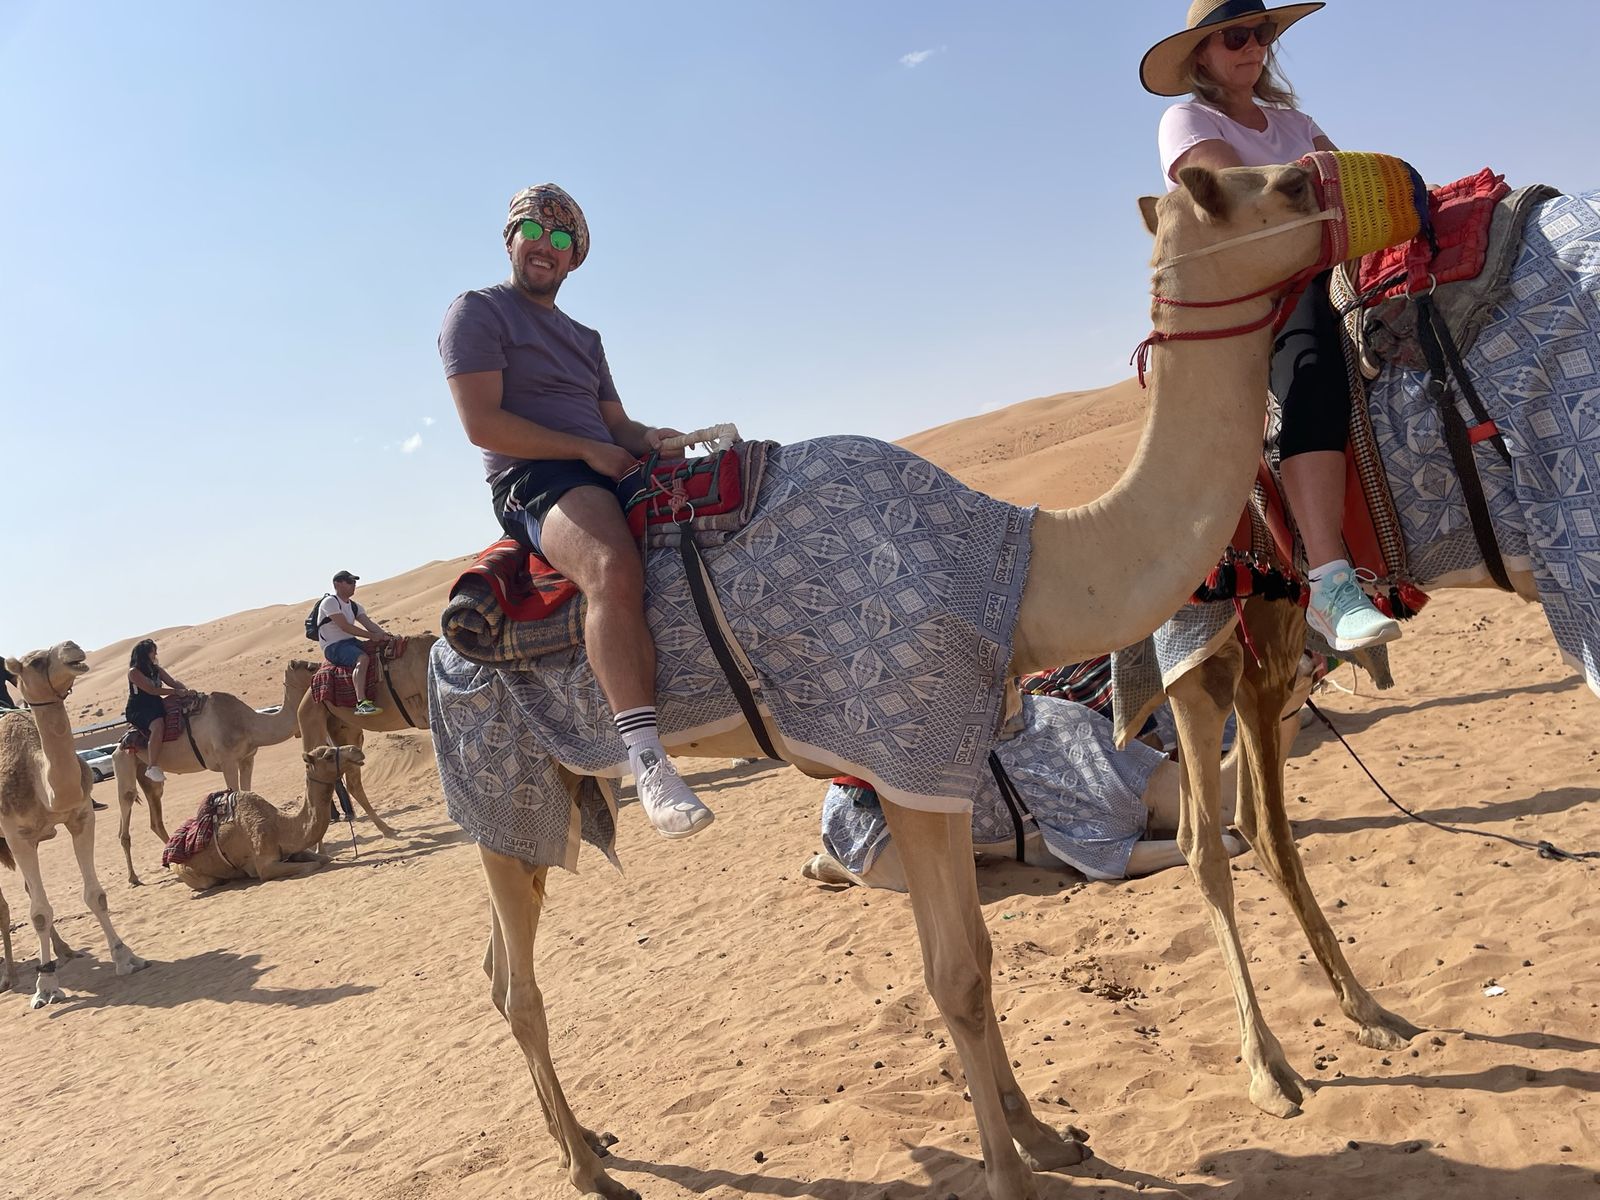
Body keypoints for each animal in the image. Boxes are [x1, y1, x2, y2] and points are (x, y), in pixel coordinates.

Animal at [1, 642, 146, 1008]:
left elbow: (95, 895)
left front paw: (125, 957)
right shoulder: (16, 836)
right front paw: (46, 986)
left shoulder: (81, 817)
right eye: (36, 661)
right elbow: (38, 912)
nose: (73, 648)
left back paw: (64, 951)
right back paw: (10, 976)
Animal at [114, 659, 317, 886]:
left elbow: (246, 790)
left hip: (146, 774)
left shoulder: (247, 759)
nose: (322, 665)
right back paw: (134, 877)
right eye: (310, 668)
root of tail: (119, 743)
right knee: (126, 805)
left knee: (155, 813)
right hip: (124, 763)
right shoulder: (227, 761)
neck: (249, 724)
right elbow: (234, 791)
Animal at [167, 746, 365, 891]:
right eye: (329, 756)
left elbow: (325, 858)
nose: (356, 749)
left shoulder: (294, 850)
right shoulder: (265, 865)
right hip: (191, 873)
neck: (281, 826)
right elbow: (312, 865)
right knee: (209, 882)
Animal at [435, 169, 1341, 1200]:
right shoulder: (899, 747)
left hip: (531, 805)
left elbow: (976, 957)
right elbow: (953, 976)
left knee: (498, 964)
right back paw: (592, 1169)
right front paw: (1010, 1174)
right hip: (497, 778)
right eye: (1276, 186)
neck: (1029, 569)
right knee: (519, 985)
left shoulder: (941, 765)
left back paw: (588, 1142)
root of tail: (443, 636)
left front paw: (1044, 1137)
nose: (1346, 175)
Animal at [1129, 169, 1600, 1118]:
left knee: (1252, 825)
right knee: (1210, 841)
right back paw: (1271, 1067)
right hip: (1205, 654)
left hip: (1274, 662)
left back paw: (1371, 1010)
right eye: (1282, 184)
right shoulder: (1576, 527)